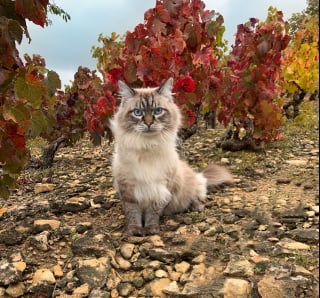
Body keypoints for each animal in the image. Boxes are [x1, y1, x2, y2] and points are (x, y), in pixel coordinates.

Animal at [110, 78, 232, 236]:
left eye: (158, 111)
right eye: (137, 112)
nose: (148, 123)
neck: (147, 146)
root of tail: (197, 175)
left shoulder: (161, 188)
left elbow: (152, 213)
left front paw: (151, 230)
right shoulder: (129, 190)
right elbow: (133, 214)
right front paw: (134, 231)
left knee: (195, 196)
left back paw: (196, 207)